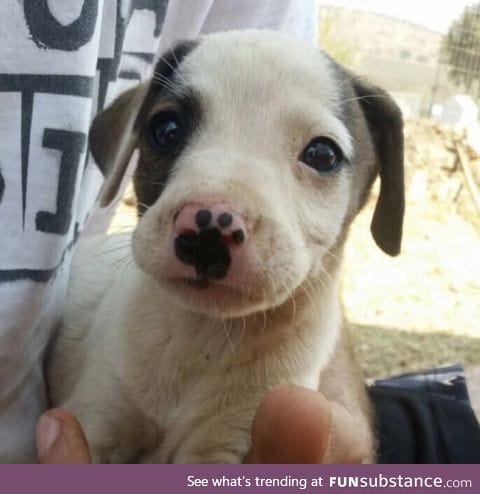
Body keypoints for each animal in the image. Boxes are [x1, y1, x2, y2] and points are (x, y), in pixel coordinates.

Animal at [47, 30, 404, 464]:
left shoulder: (228, 441)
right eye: (167, 129)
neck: (202, 339)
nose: (207, 232)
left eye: (322, 154)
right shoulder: (100, 411)